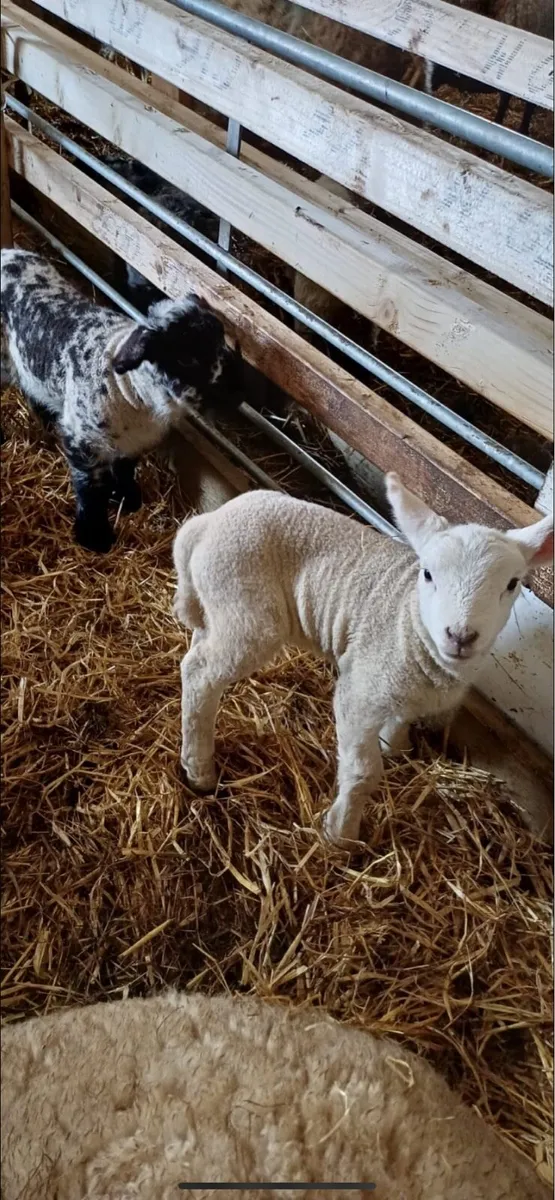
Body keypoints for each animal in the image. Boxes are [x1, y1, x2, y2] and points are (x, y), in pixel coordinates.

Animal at [0, 249, 243, 553]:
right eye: (187, 358)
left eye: (222, 338)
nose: (239, 391)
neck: (130, 390)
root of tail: (9, 252)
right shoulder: (82, 440)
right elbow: (89, 489)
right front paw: (95, 537)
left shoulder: (131, 440)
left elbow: (126, 467)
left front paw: (127, 499)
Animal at [172, 475, 553, 845]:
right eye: (428, 574)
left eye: (512, 583)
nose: (460, 636)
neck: (408, 623)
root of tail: (208, 522)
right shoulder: (361, 690)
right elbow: (362, 773)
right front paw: (341, 835)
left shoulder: (407, 690)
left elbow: (400, 721)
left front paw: (396, 748)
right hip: (247, 611)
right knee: (200, 673)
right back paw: (200, 770)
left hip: (221, 608)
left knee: (199, 648)